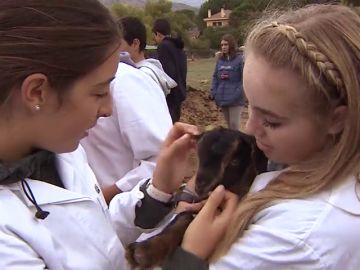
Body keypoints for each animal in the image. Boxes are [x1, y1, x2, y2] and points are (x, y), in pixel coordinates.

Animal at [124, 127, 268, 268]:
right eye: (199, 155)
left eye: (235, 161)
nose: (201, 186)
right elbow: (185, 216)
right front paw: (144, 251)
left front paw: (142, 253)